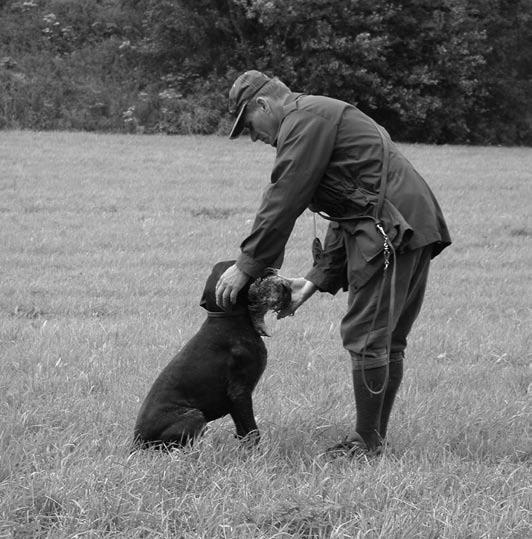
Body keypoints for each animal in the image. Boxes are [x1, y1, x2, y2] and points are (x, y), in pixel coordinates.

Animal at [133, 260, 290, 450]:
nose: (270, 266)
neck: (227, 318)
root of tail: (136, 443)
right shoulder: (240, 392)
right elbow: (252, 431)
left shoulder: (234, 402)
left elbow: (243, 431)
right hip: (194, 416)